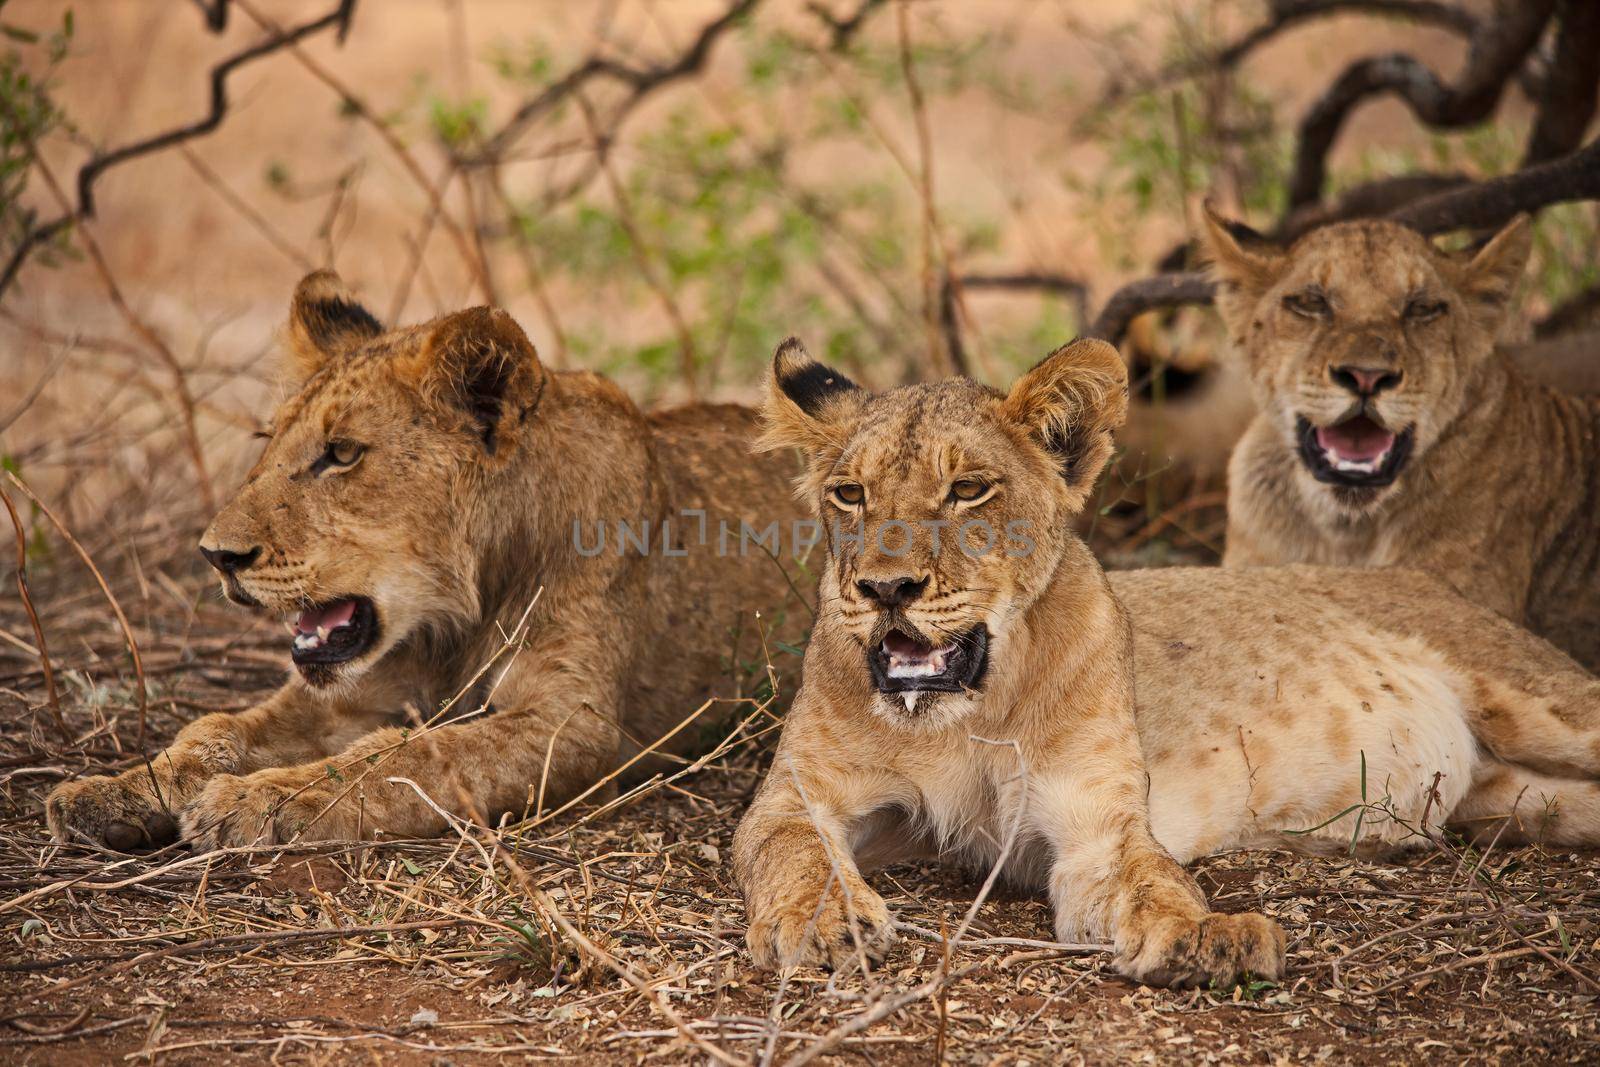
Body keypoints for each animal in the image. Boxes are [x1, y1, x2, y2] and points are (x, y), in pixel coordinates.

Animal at [46, 273, 812, 851]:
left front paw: (254, 803)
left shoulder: (575, 727)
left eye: (342, 453)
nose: (215, 555)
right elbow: (217, 729)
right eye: (269, 441)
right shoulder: (352, 690)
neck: (453, 616)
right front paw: (110, 792)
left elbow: (409, 757)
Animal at [732, 337, 1600, 991]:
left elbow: (1157, 879)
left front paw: (1208, 934)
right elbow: (796, 850)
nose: (885, 589)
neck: (964, 714)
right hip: (1515, 799)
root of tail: (1421, 577)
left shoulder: (1096, 824)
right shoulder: (795, 795)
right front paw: (822, 919)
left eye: (969, 489)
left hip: (1542, 700)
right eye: (850, 493)